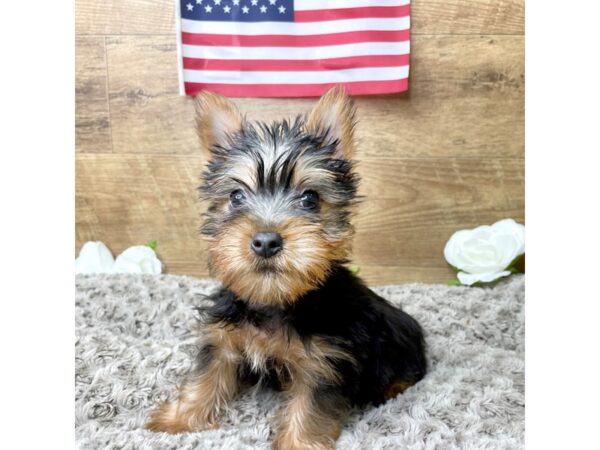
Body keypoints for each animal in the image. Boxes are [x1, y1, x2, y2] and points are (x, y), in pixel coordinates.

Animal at [145, 89, 426, 450]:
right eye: (236, 197)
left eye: (310, 198)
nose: (266, 241)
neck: (276, 300)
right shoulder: (223, 340)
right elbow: (207, 376)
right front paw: (180, 417)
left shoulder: (323, 361)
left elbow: (309, 408)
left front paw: (298, 443)